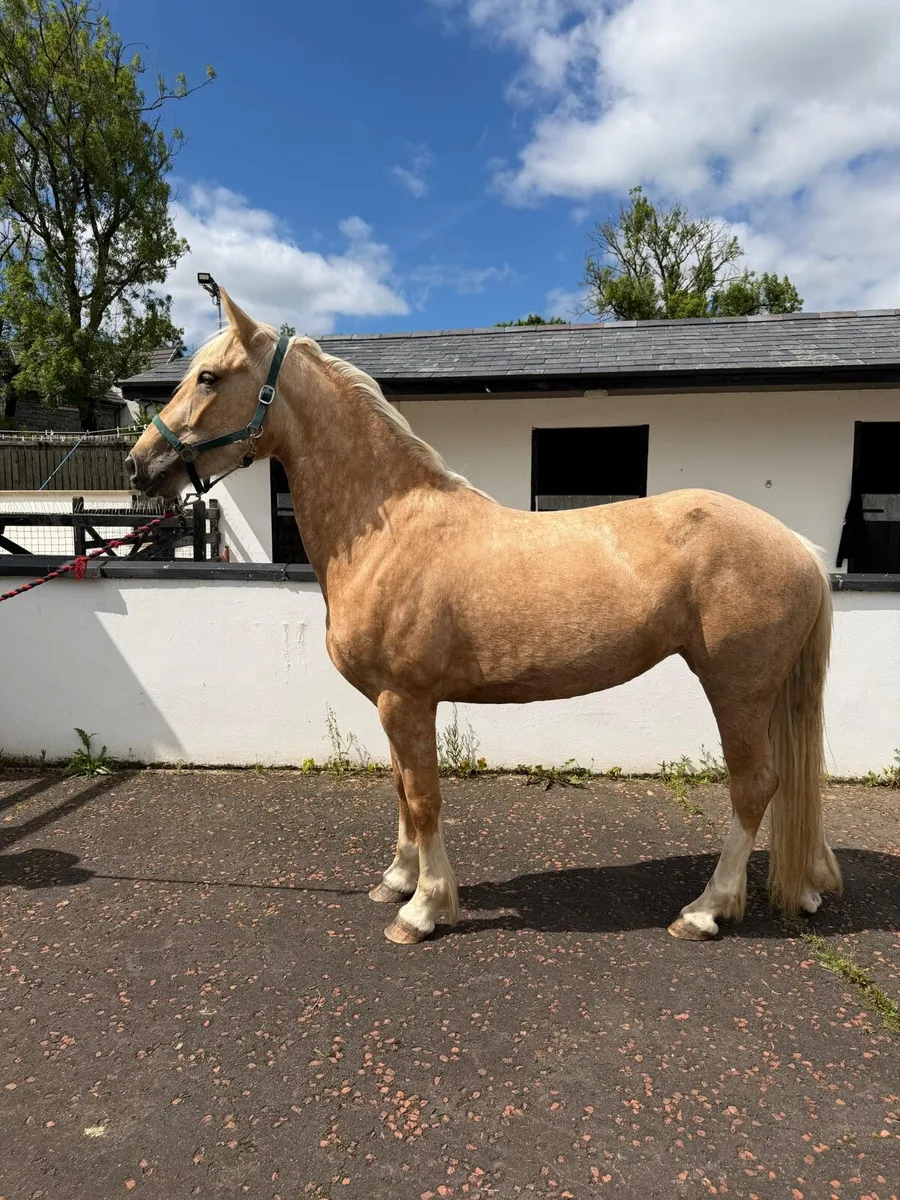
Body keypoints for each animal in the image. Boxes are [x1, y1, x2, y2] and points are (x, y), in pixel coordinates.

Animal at [127, 292, 842, 945]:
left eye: (208, 377)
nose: (139, 466)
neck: (389, 529)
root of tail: (796, 545)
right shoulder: (393, 703)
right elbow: (401, 789)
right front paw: (398, 881)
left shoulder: (406, 699)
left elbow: (423, 796)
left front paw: (424, 909)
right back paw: (799, 889)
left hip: (736, 689)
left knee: (754, 787)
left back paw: (705, 911)